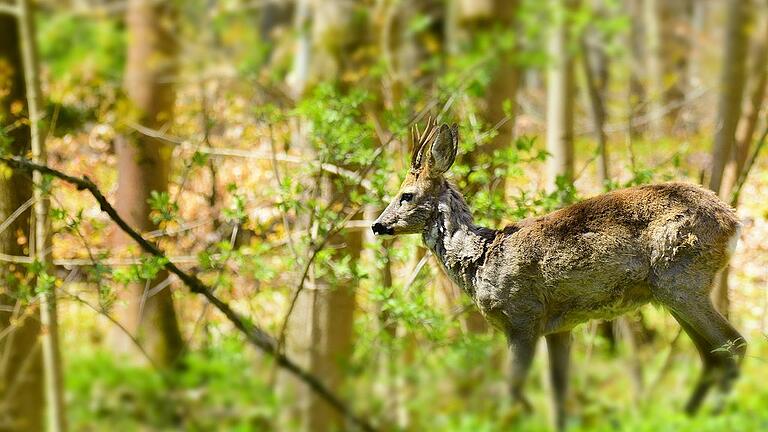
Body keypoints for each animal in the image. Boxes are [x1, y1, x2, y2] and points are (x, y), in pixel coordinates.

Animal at [370, 120, 744, 430]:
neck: (482, 259)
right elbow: (557, 395)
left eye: (406, 195)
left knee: (733, 344)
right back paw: (689, 416)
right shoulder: (559, 326)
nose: (376, 225)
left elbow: (513, 389)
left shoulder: (523, 316)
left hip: (681, 279)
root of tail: (733, 220)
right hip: (674, 291)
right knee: (712, 355)